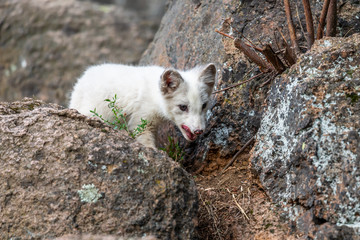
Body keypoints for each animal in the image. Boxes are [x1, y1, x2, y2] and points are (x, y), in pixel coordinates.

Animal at [69, 62, 217, 147]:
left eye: (204, 105)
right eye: (183, 107)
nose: (199, 130)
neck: (154, 94)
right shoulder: (141, 122)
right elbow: (148, 145)